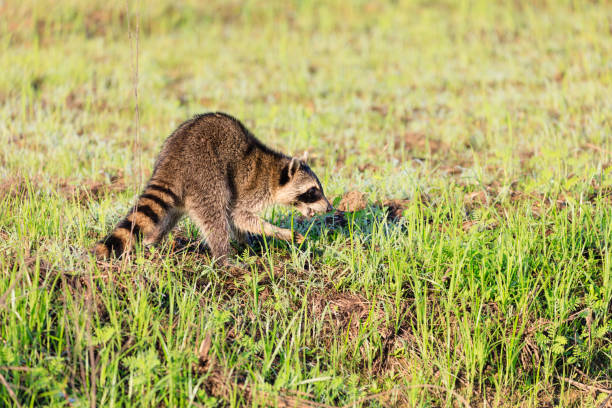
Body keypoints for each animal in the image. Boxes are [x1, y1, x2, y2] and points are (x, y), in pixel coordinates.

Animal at [94, 111, 334, 264]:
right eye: (313, 191)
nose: (330, 208)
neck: (275, 170)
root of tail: (172, 161)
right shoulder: (251, 188)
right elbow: (238, 215)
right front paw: (279, 232)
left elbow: (236, 221)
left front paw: (247, 242)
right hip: (206, 176)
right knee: (216, 215)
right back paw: (223, 259)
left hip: (182, 190)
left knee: (167, 216)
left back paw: (151, 242)